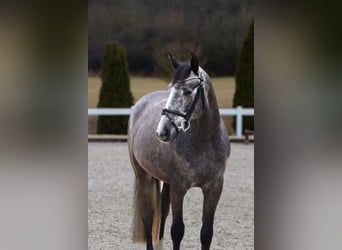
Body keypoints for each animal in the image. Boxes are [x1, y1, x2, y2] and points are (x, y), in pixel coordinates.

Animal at [128, 53, 230, 250]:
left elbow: (206, 232)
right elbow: (177, 230)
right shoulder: (179, 187)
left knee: (162, 213)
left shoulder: (214, 188)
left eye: (188, 91)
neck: (205, 140)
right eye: (170, 90)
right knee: (148, 216)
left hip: (165, 181)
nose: (162, 132)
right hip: (142, 176)